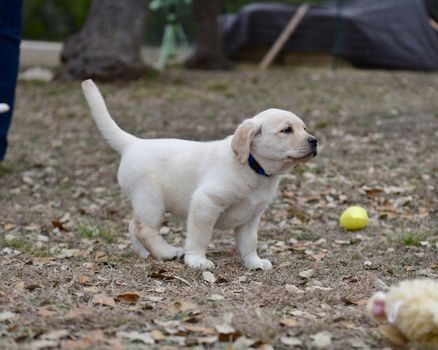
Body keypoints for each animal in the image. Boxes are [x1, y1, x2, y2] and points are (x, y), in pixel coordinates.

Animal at [82, 80, 316, 270]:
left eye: (304, 128)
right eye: (286, 130)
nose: (314, 140)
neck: (253, 167)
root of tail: (133, 143)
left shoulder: (251, 216)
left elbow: (249, 242)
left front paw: (254, 262)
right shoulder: (206, 202)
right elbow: (200, 237)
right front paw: (197, 261)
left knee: (134, 226)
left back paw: (145, 254)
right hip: (151, 199)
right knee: (144, 229)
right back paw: (167, 252)